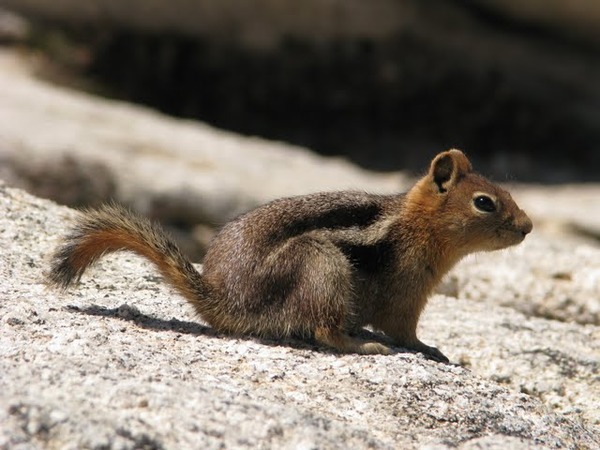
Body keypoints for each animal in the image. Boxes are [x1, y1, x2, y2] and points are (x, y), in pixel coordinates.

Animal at [49, 150, 532, 362]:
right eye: (485, 203)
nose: (528, 227)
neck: (417, 226)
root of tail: (226, 299)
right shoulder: (407, 295)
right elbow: (405, 331)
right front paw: (428, 348)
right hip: (321, 262)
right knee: (323, 330)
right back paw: (364, 344)